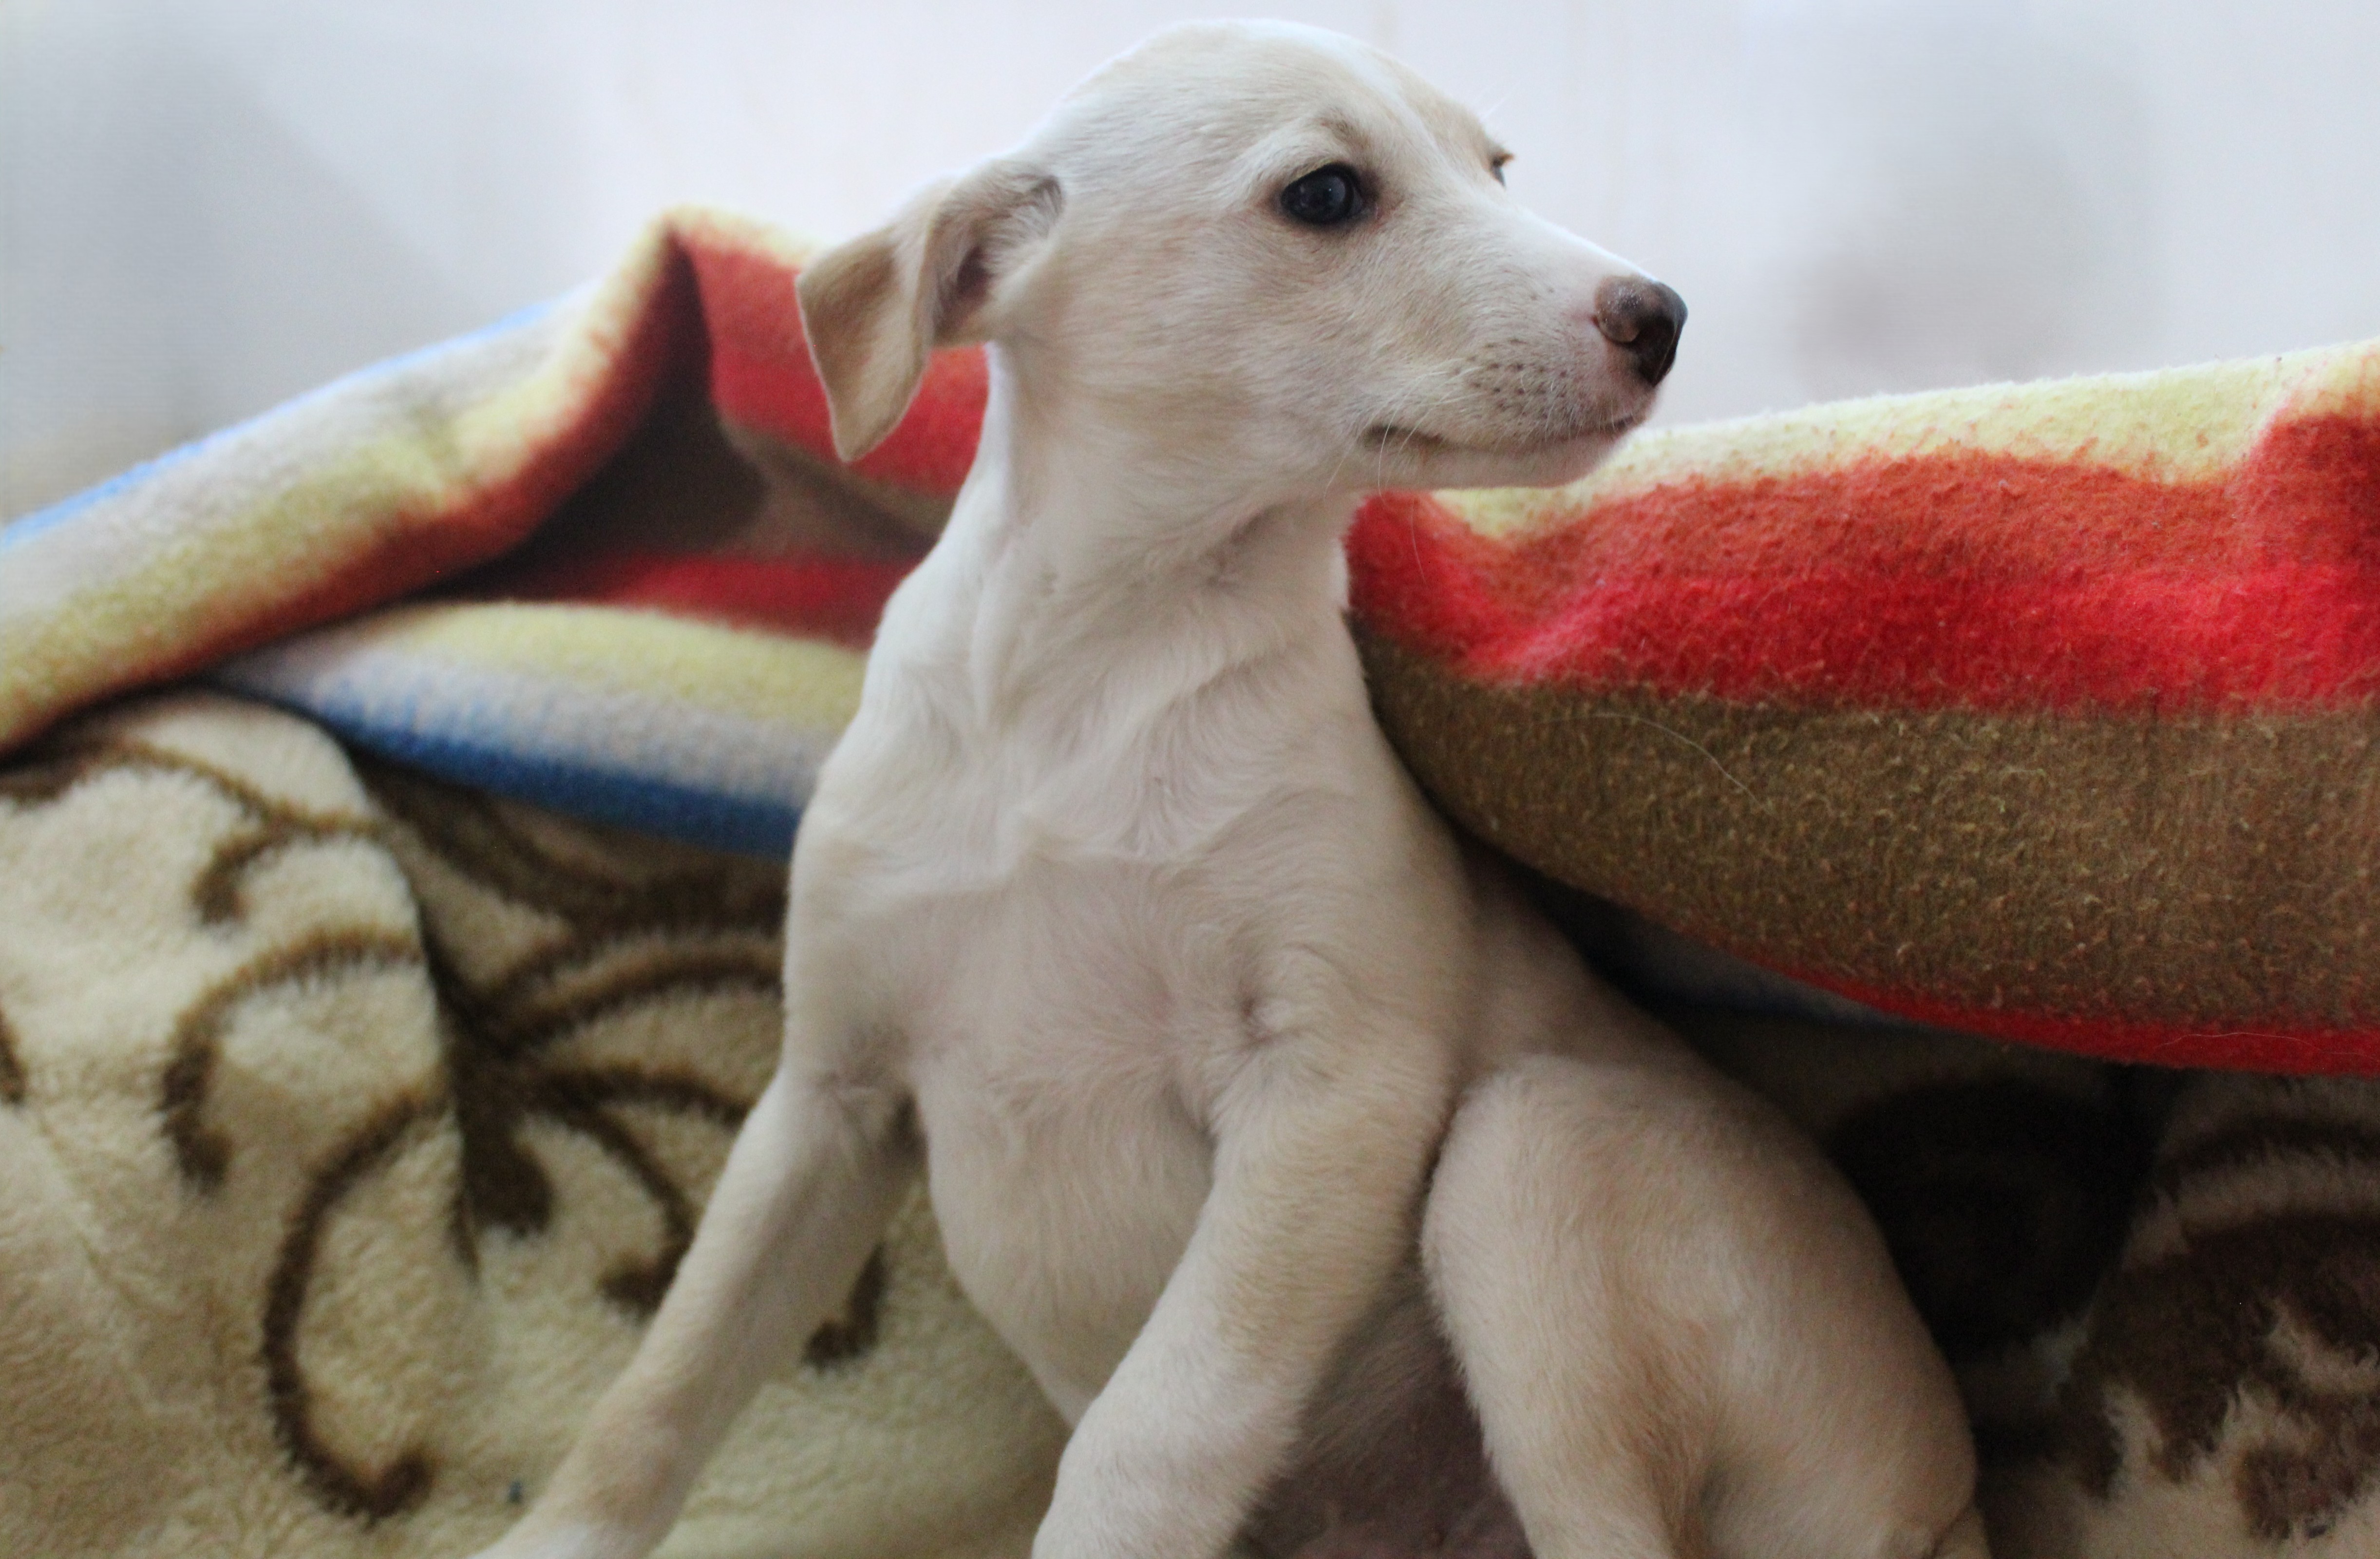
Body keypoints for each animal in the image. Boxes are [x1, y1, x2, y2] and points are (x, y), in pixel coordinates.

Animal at [473, 21, 1980, 1559]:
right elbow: (661, 1387)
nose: (1660, 315)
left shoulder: (1329, 1087)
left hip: (1524, 1156)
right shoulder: (824, 1099)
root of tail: (1948, 1502)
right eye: (1325, 195)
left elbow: (1156, 1432)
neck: (1093, 671)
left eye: (1495, 169)